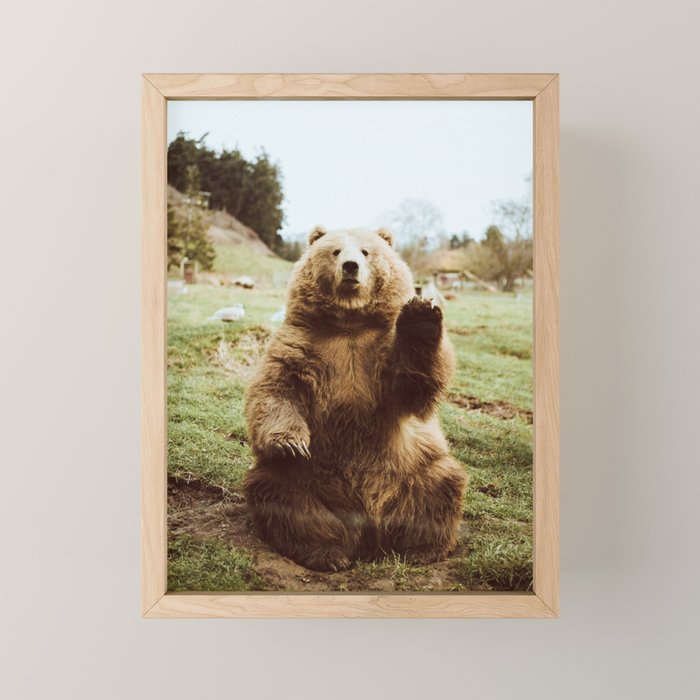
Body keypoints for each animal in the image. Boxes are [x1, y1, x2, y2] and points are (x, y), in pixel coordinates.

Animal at [243, 225, 467, 572]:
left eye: (365, 251)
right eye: (335, 251)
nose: (350, 267)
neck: (349, 323)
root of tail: (368, 529)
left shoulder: (378, 354)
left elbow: (412, 384)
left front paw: (420, 316)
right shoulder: (300, 345)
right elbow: (276, 390)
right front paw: (291, 443)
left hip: (412, 467)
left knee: (440, 484)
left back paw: (421, 549)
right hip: (309, 479)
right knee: (281, 494)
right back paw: (327, 553)